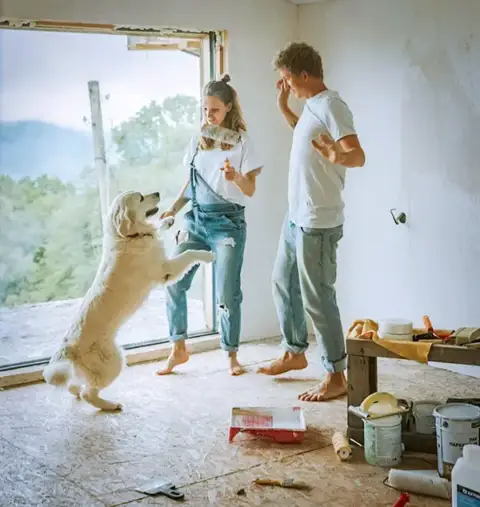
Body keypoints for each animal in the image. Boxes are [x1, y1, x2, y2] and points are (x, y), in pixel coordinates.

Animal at [44, 190, 215, 412]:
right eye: (140, 197)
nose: (157, 192)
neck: (128, 237)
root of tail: (67, 349)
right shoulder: (165, 270)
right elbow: (189, 253)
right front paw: (207, 255)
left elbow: (158, 227)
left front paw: (167, 220)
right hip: (114, 362)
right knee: (87, 392)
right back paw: (110, 405)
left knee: (74, 386)